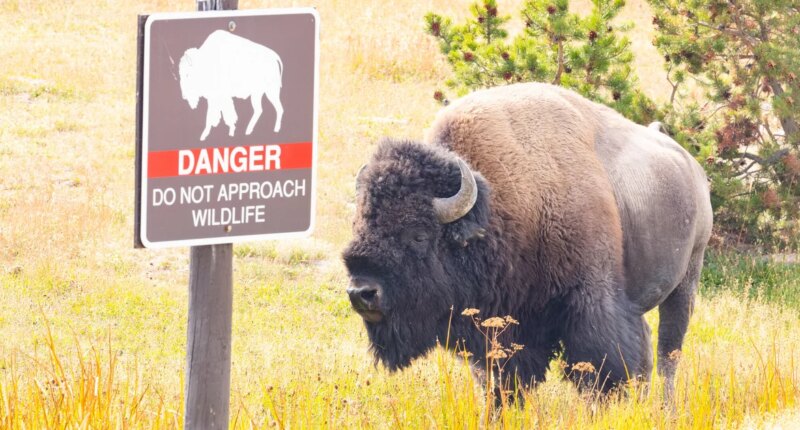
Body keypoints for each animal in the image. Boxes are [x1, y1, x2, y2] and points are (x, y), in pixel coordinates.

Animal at [343, 83, 712, 398]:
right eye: (359, 225)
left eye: (419, 235)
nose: (362, 293)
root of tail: (692, 169)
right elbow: (498, 380)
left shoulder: (590, 303)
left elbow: (600, 369)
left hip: (686, 282)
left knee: (668, 353)